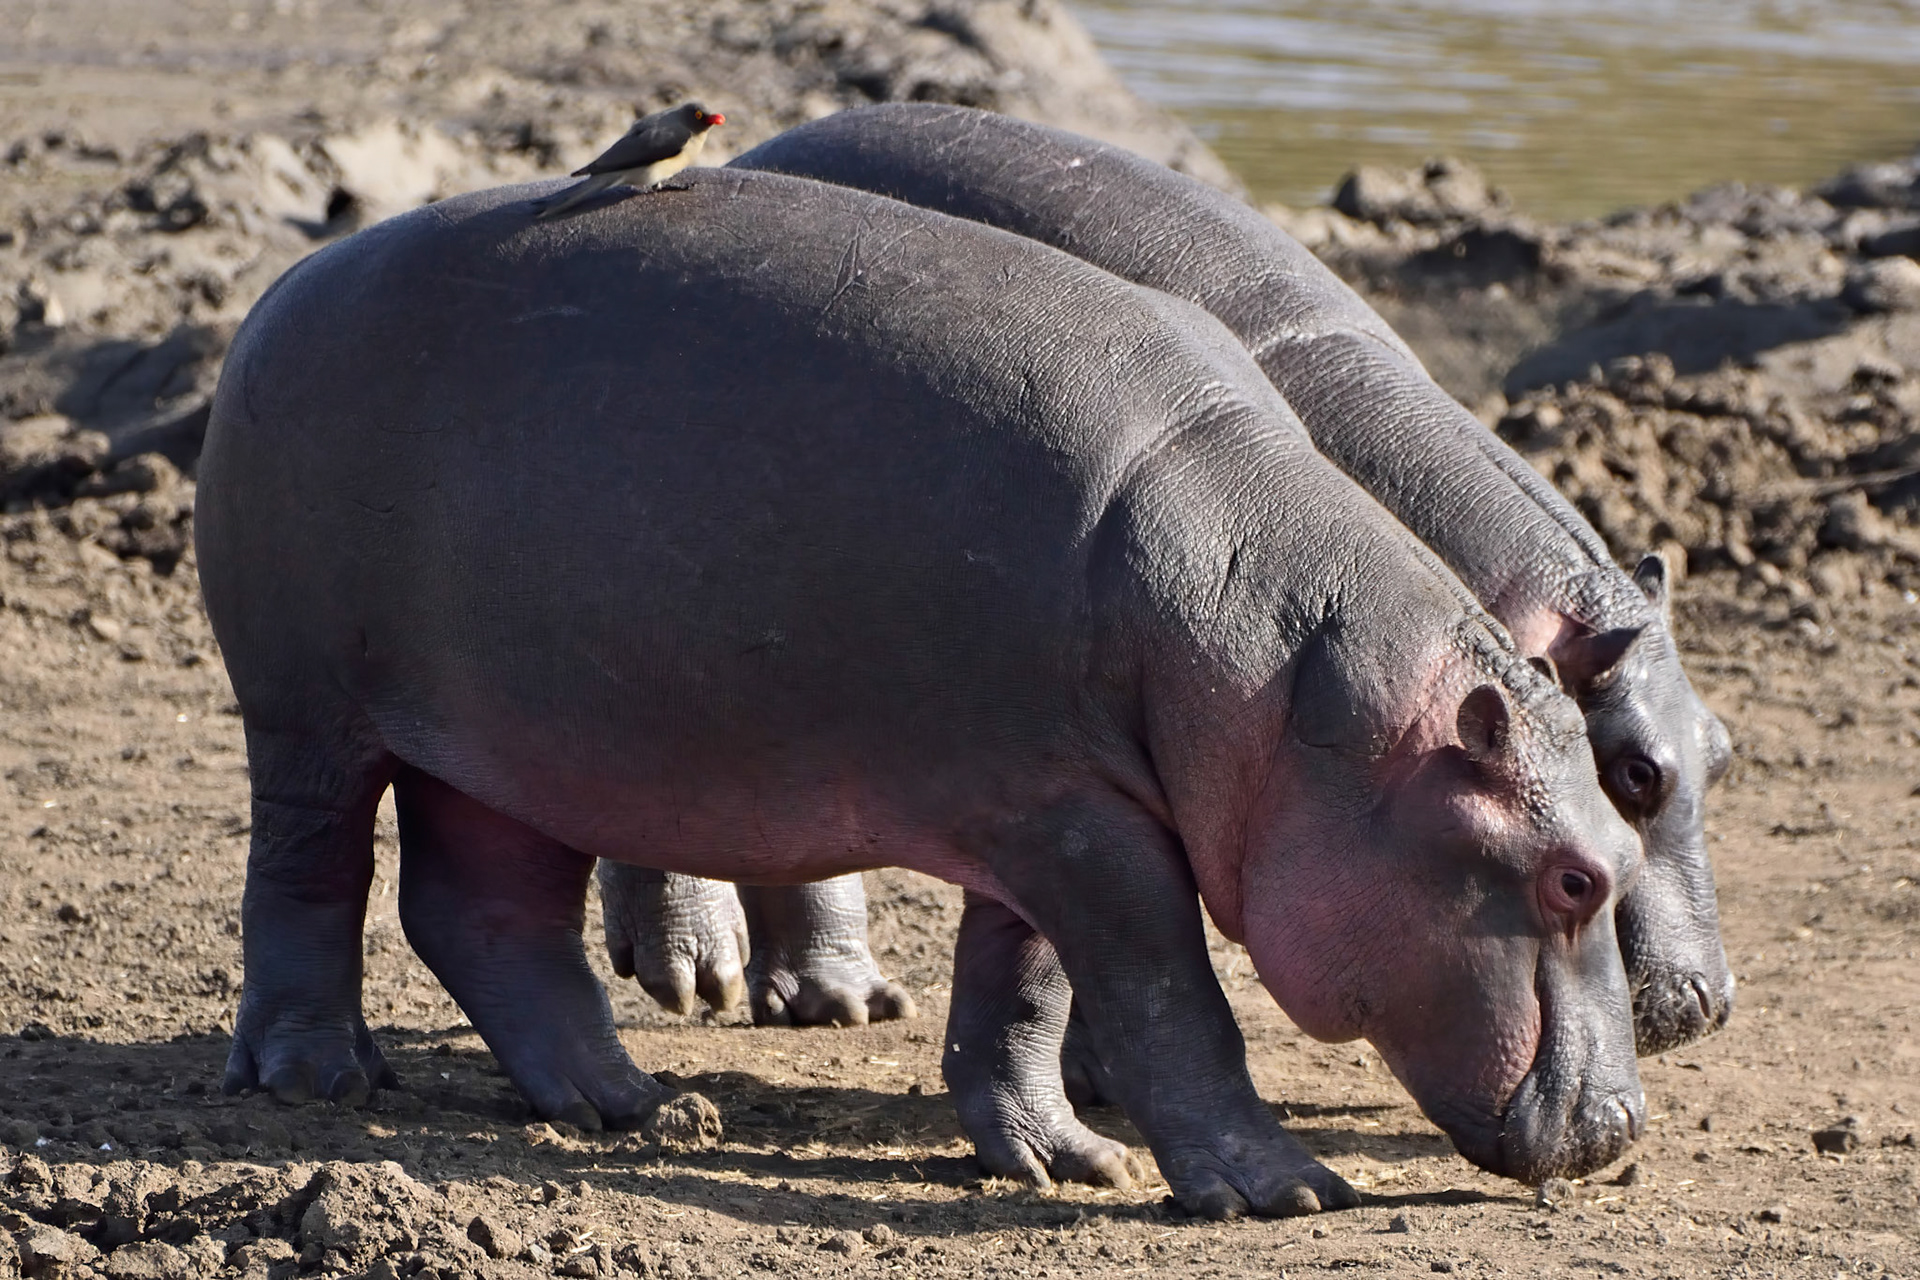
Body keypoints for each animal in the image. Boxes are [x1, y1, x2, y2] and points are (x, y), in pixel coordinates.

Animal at [197, 165, 1644, 1214]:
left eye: (1627, 833)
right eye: (1575, 879)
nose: (1625, 1127)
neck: (1296, 677)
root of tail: (285, 290)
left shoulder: (1059, 797)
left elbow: (1025, 987)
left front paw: (1066, 1159)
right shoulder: (1084, 822)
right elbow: (1170, 995)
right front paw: (1279, 1188)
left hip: (519, 743)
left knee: (485, 910)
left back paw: (627, 1103)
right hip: (307, 707)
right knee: (309, 876)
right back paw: (318, 1077)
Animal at [702, 104, 1735, 1061]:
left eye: (1722, 749)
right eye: (1634, 772)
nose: (1709, 1002)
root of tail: (764, 147)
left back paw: (832, 999)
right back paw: (714, 978)